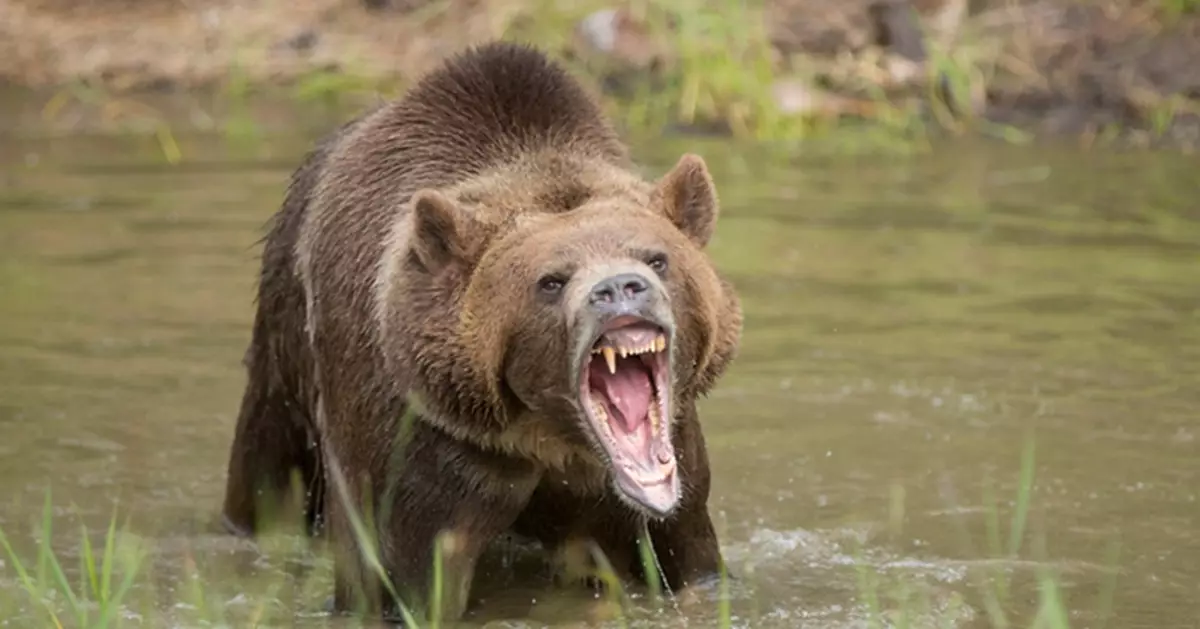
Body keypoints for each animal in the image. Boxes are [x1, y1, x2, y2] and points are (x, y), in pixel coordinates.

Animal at [219, 40, 743, 622]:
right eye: (551, 280)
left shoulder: (665, 474)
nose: (620, 288)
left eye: (656, 258)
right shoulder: (424, 448)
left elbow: (685, 553)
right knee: (268, 473)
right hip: (285, 353)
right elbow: (405, 576)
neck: (549, 435)